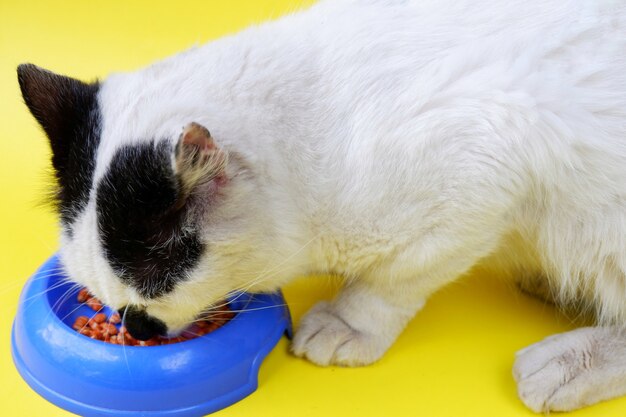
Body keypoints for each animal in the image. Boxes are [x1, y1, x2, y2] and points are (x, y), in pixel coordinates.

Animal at [17, 0, 624, 412]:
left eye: (147, 296)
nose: (136, 328)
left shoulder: (481, 180)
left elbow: (392, 280)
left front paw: (347, 321)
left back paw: (569, 363)